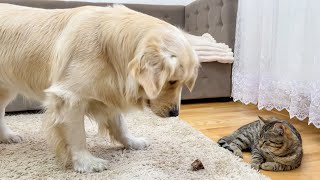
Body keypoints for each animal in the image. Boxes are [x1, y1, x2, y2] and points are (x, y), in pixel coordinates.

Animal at [0, 3, 199, 172]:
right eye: (172, 81)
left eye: (182, 82)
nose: (175, 113)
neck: (109, 48)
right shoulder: (69, 97)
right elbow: (78, 135)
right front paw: (86, 162)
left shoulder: (109, 92)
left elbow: (120, 124)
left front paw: (132, 142)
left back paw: (7, 137)